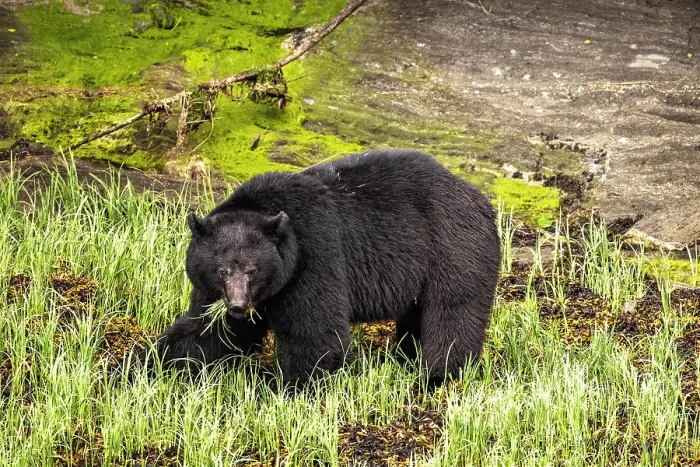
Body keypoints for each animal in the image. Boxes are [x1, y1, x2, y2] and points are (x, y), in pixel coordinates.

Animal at [132, 149, 501, 387]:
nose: (237, 305)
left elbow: (317, 334)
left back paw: (438, 375)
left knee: (451, 313)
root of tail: (481, 199)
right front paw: (141, 364)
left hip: (454, 249)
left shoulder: (313, 256)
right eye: (222, 270)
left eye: (252, 269)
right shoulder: (220, 291)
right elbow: (208, 331)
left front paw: (288, 389)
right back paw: (405, 356)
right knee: (417, 316)